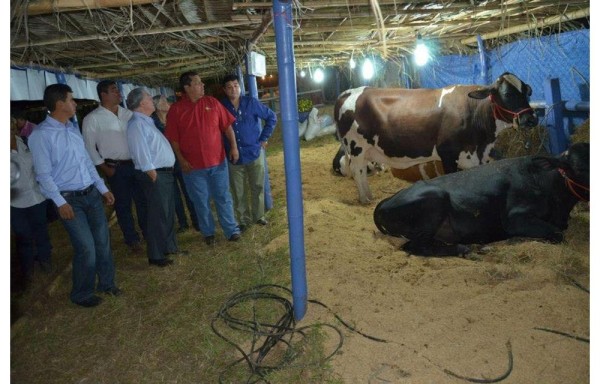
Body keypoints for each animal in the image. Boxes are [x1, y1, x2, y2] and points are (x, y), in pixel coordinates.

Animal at [336, 72, 536, 204]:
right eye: (507, 94)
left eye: (527, 92)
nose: (531, 119)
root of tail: (348, 92)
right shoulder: (448, 155)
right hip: (356, 146)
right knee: (358, 172)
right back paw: (365, 199)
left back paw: (369, 196)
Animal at [372, 142, 588, 256]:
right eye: (580, 168)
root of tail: (384, 202)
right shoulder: (515, 218)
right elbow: (557, 234)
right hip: (435, 201)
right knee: (415, 246)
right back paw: (464, 248)